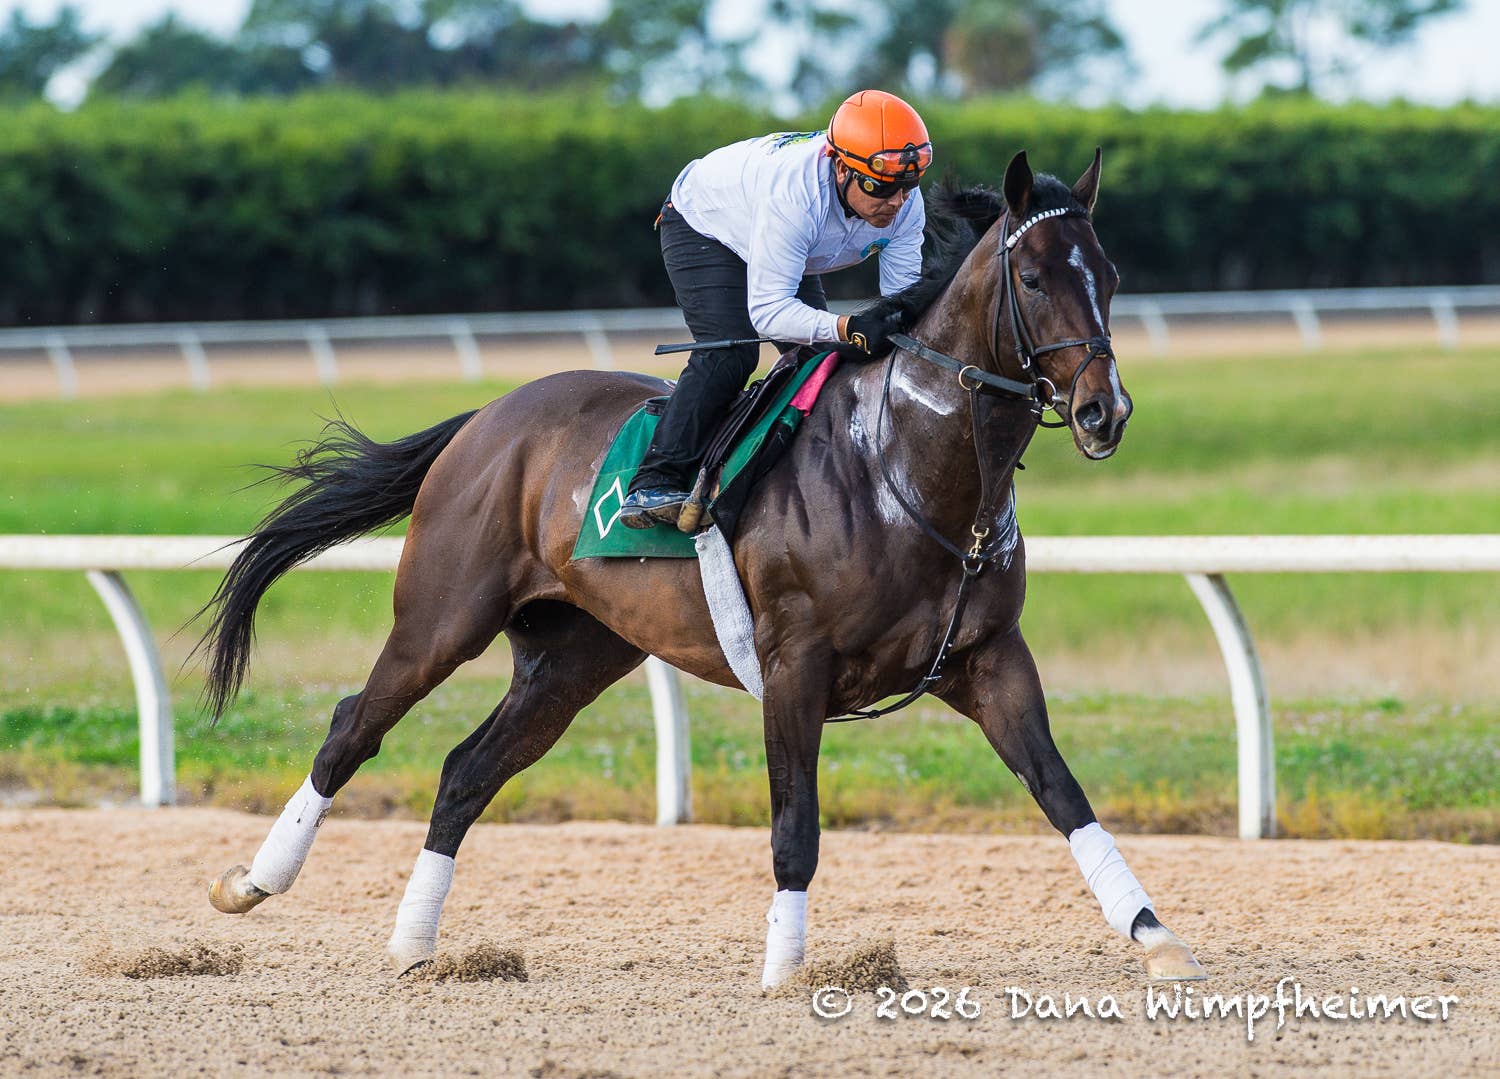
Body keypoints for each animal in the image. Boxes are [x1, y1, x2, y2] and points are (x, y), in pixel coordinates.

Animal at [199, 149, 1207, 987]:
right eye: (1033, 277)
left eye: (1111, 276)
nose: (1103, 411)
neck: (908, 467)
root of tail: (486, 417)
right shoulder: (794, 664)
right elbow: (794, 826)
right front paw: (785, 969)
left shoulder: (990, 658)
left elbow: (1063, 792)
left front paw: (1154, 933)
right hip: (442, 617)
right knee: (353, 728)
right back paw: (250, 883)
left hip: (573, 656)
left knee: (464, 772)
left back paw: (415, 945)